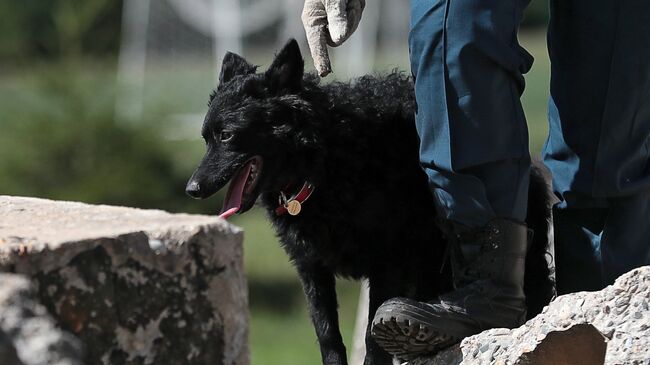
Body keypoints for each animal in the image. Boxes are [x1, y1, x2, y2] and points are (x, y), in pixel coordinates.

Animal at [186, 39, 552, 364]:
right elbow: (327, 335)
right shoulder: (310, 267)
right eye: (205, 138)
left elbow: (372, 338)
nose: (192, 189)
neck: (323, 161)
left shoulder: (388, 263)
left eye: (227, 136)